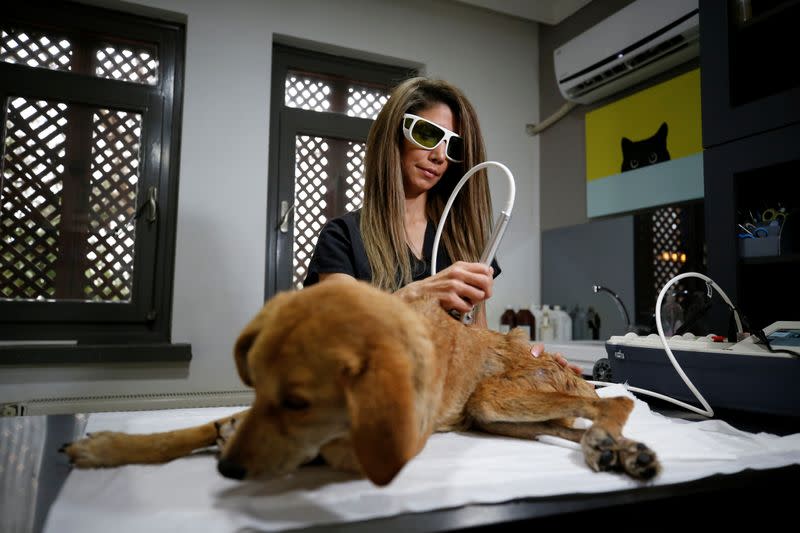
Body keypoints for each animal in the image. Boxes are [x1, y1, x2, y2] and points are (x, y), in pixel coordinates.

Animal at [62, 280, 660, 484]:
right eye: (257, 388)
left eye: (299, 403)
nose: (228, 468)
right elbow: (189, 431)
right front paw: (107, 447)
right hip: (494, 416)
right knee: (572, 424)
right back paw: (615, 451)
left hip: (498, 398)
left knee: (617, 405)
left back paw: (613, 443)